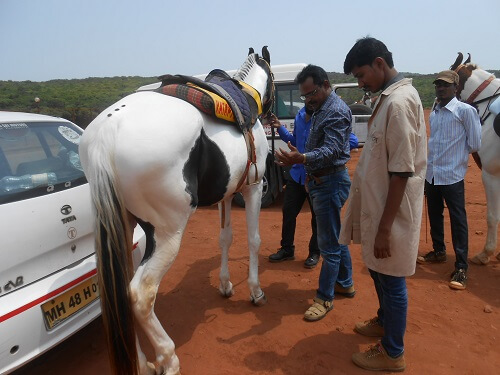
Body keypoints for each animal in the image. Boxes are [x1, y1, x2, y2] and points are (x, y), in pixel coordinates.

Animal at [79, 47, 274, 375]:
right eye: (273, 77)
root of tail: (107, 132)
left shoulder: (226, 194)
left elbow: (225, 238)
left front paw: (225, 284)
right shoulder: (253, 187)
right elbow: (253, 240)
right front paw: (255, 291)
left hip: (121, 226)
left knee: (121, 292)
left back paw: (143, 363)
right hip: (167, 233)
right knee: (140, 294)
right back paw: (168, 358)